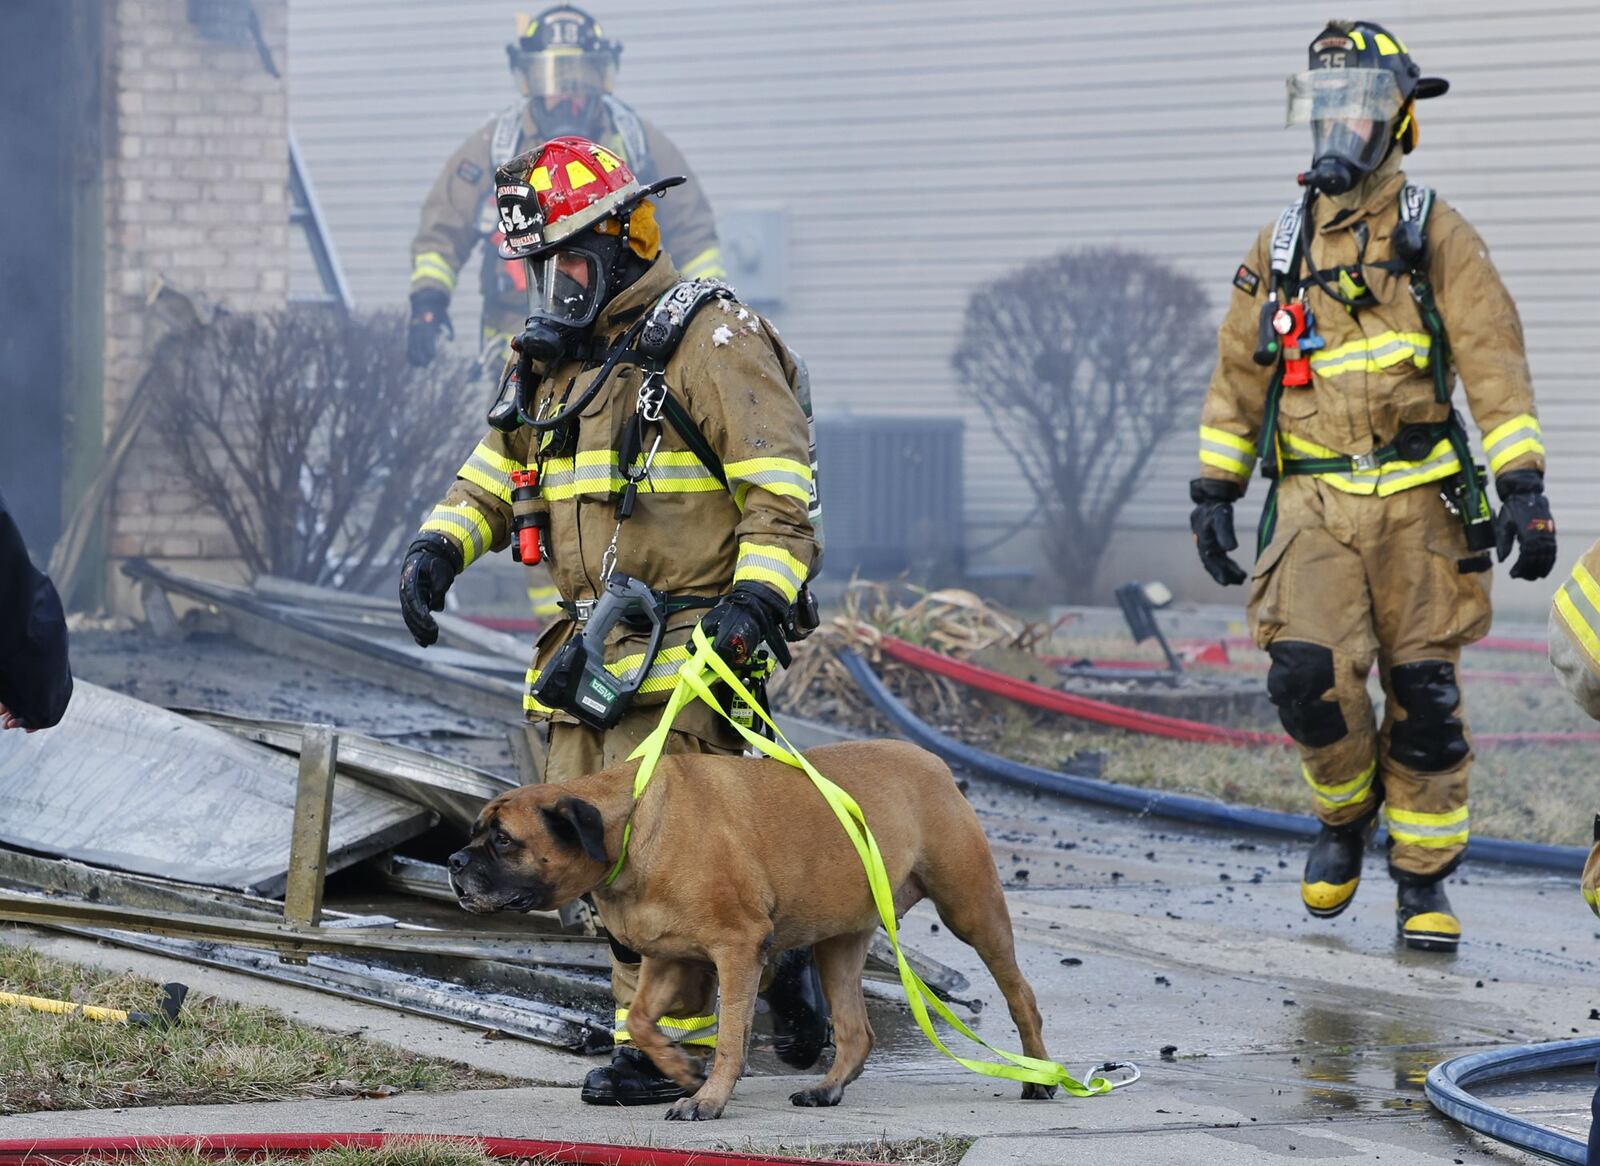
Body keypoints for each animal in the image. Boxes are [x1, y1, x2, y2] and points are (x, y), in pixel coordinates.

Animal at [448, 735, 1049, 1119]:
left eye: (503, 840)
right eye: (477, 832)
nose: (453, 861)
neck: (633, 826)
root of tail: (936, 765)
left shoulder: (737, 952)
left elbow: (732, 1036)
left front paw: (709, 1098)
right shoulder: (669, 958)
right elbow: (641, 1020)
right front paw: (682, 1071)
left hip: (972, 910)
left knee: (1021, 994)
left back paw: (1039, 1075)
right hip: (840, 943)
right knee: (856, 1030)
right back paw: (827, 1089)